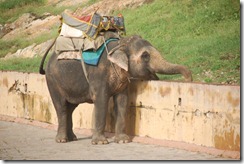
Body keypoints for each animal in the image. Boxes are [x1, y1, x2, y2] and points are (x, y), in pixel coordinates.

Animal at [38, 34, 193, 144]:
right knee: (62, 107)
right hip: (52, 81)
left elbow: (122, 101)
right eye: (145, 56)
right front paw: (101, 143)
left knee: (70, 108)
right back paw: (62, 140)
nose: (188, 80)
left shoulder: (122, 82)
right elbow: (101, 101)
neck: (120, 45)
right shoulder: (98, 75)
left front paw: (123, 141)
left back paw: (73, 138)